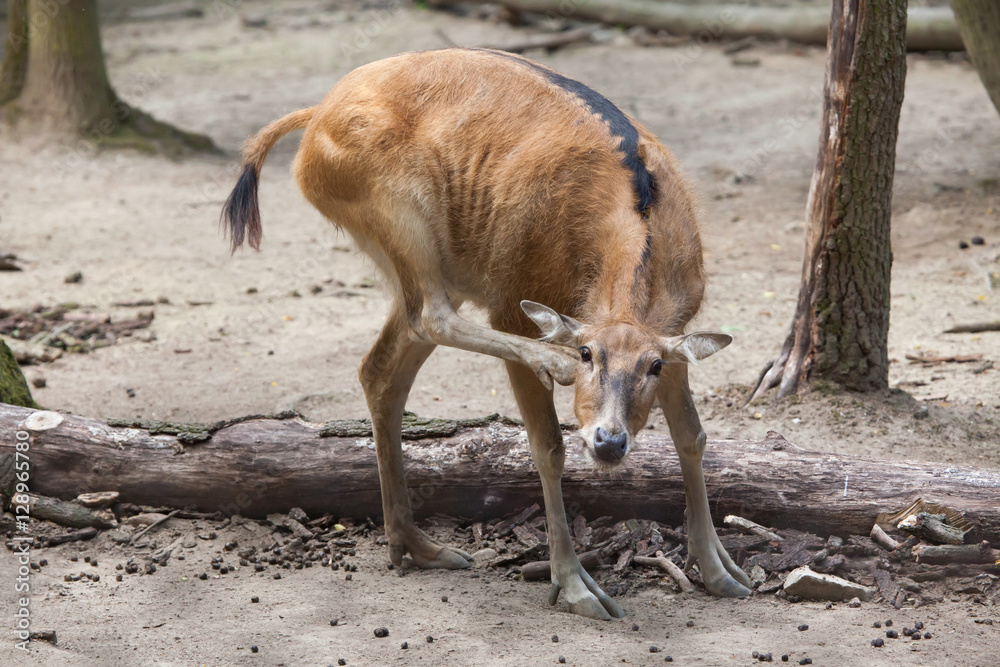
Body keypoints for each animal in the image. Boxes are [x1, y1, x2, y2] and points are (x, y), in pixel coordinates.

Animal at [222, 48, 750, 620]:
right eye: (588, 352)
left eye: (651, 366)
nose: (609, 442)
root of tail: (316, 115)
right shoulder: (512, 307)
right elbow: (548, 448)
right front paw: (577, 589)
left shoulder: (676, 335)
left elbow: (692, 436)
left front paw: (723, 572)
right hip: (403, 221)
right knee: (429, 318)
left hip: (424, 263)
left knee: (380, 369)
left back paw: (417, 545)